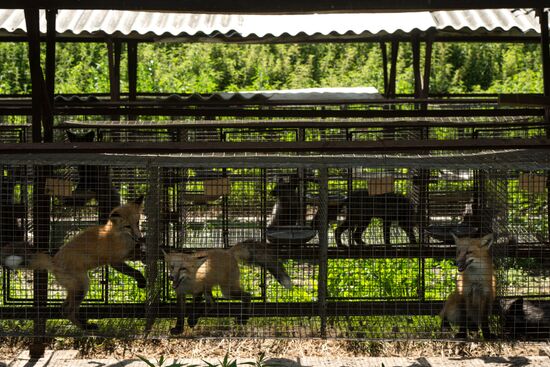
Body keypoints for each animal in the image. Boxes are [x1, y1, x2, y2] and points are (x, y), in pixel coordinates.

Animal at [27, 197, 148, 332]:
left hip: (75, 288)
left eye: (137, 223)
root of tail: (53, 261)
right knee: (69, 311)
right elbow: (135, 271)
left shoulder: (127, 253)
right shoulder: (115, 261)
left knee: (63, 308)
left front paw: (145, 252)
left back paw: (84, 323)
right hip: (83, 285)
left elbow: (138, 254)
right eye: (128, 226)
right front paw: (141, 280)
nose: (139, 237)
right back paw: (86, 327)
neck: (119, 235)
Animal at [164, 239, 294, 336]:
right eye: (171, 267)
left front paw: (191, 320)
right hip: (213, 289)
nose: (170, 277)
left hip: (227, 291)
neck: (187, 284)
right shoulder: (180, 294)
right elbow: (180, 315)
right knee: (213, 304)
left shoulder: (198, 291)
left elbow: (194, 308)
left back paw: (244, 318)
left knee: (247, 296)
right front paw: (179, 329)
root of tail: (228, 251)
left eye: (183, 268)